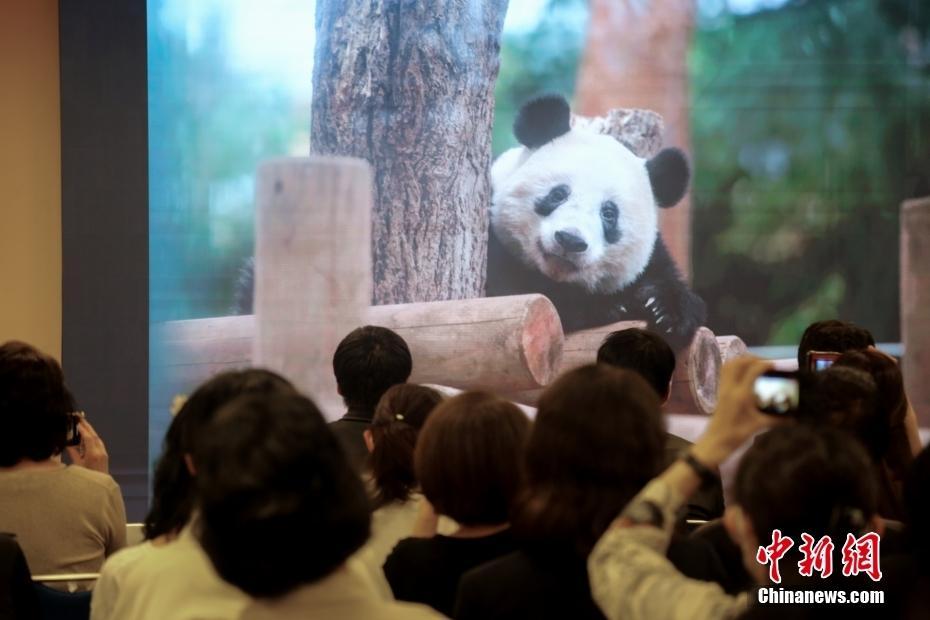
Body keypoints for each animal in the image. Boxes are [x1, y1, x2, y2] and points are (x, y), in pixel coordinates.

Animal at [486, 95, 704, 352]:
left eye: (608, 213)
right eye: (558, 194)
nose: (570, 239)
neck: (556, 276)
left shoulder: (652, 260)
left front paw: (664, 310)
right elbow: (512, 288)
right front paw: (610, 306)